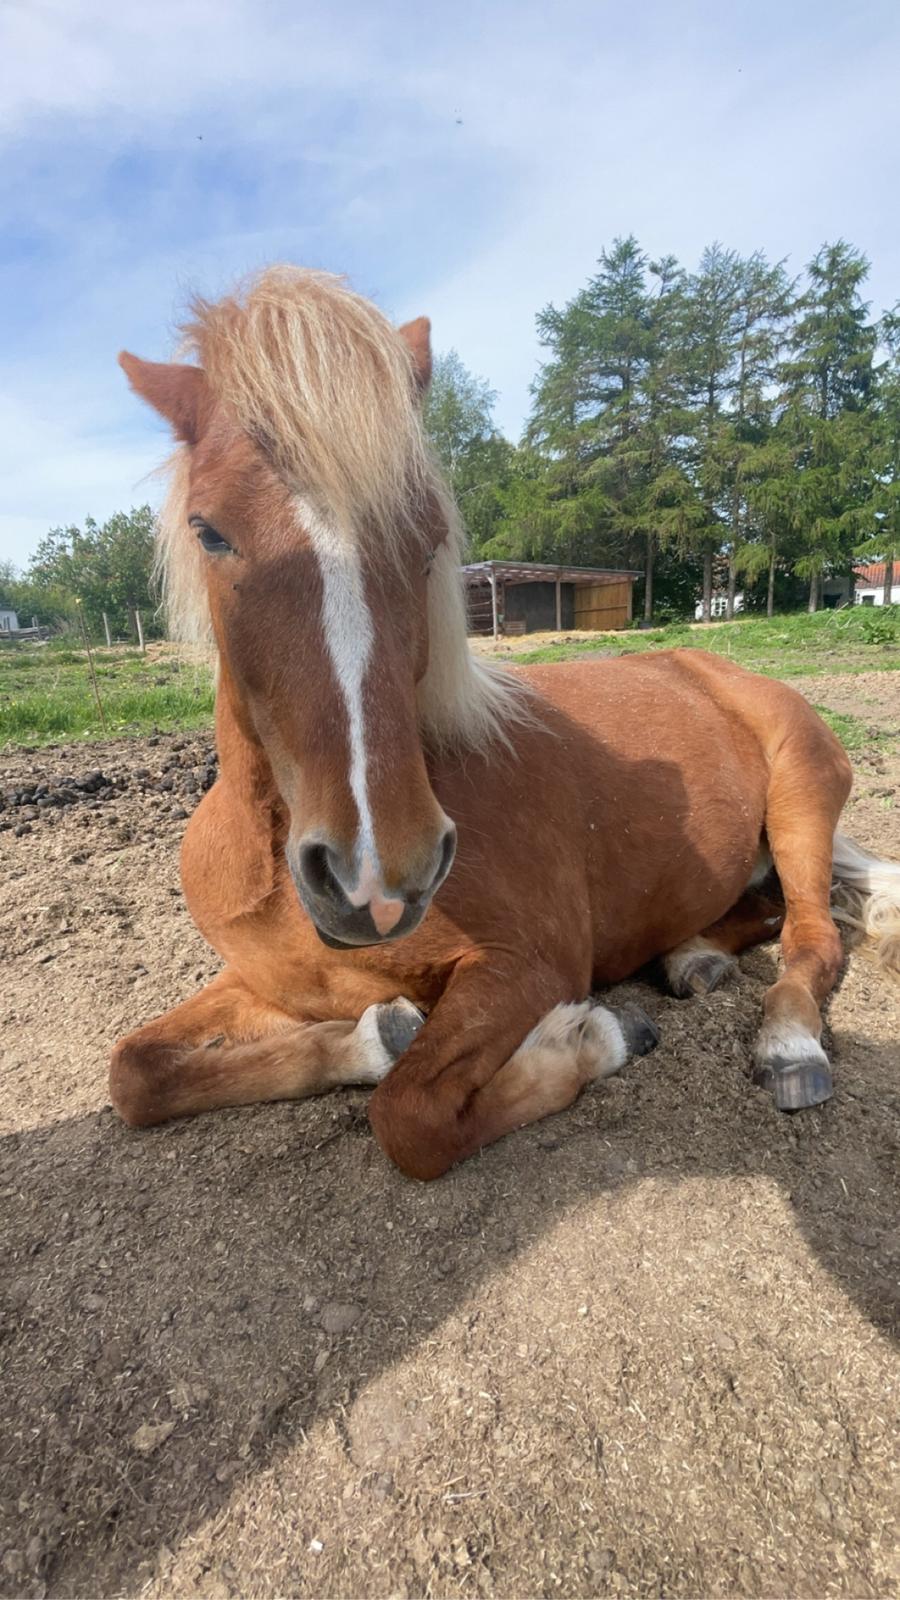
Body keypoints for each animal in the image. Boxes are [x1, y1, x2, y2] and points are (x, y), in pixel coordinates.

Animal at [110, 268, 896, 1184]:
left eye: (430, 538)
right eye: (209, 531)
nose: (377, 876)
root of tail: (719, 669)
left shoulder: (527, 966)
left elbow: (410, 1115)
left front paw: (593, 1038)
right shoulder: (265, 981)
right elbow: (136, 1073)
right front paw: (372, 1037)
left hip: (801, 804)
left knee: (812, 932)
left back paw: (788, 1046)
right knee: (764, 911)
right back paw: (691, 955)